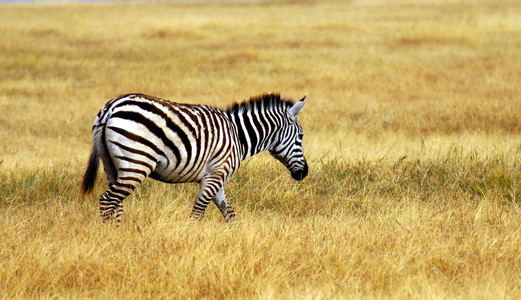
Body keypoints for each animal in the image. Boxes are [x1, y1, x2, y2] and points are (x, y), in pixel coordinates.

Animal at [80, 92, 306, 221]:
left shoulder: (215, 175)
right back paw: (110, 237)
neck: (238, 135)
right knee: (108, 200)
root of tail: (111, 107)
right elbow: (198, 211)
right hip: (137, 161)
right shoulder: (216, 174)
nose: (304, 173)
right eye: (301, 137)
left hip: (112, 165)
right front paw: (192, 237)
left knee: (116, 204)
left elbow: (229, 212)